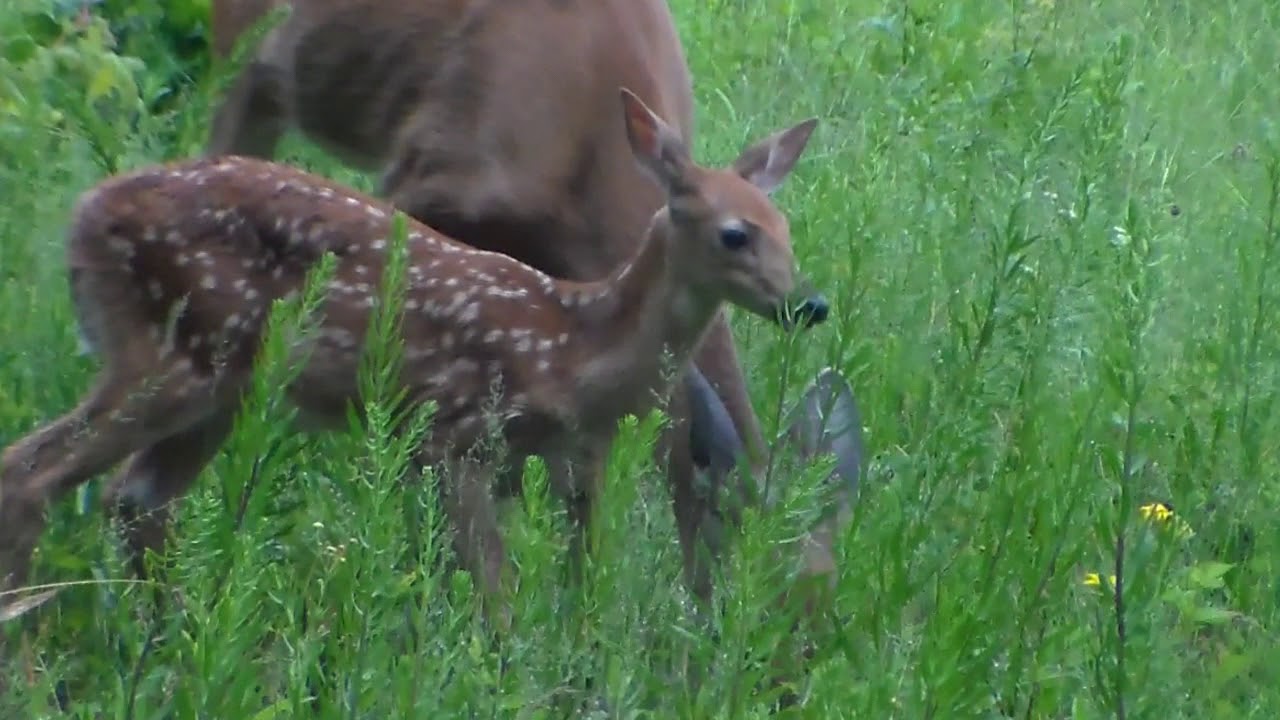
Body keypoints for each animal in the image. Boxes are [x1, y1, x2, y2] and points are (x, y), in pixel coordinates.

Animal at [0, 89, 827, 640]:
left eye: (786, 225)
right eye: (734, 233)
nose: (809, 304)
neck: (573, 347)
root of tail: (84, 217)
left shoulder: (570, 459)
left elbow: (584, 580)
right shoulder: (453, 435)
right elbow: (497, 594)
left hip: (225, 385)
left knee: (135, 498)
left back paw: (168, 638)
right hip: (175, 350)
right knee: (33, 473)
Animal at [204, 0, 866, 635]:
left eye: (827, 604)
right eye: (744, 574)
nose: (809, 305)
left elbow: (580, 491)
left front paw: (577, 624)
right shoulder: (427, 182)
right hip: (259, 56)